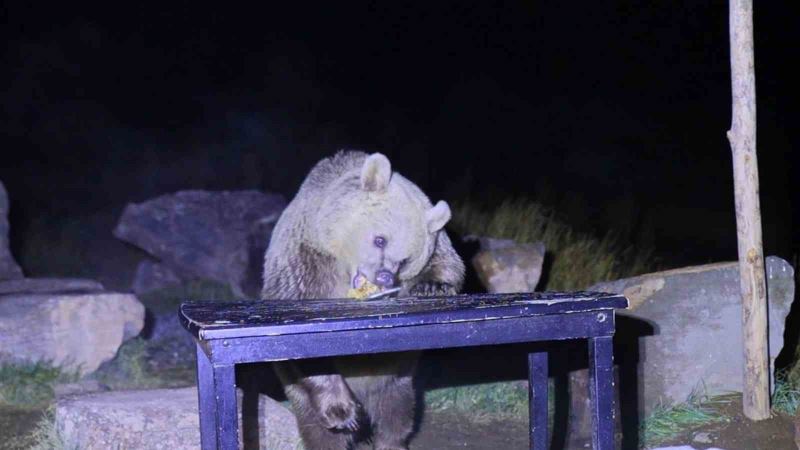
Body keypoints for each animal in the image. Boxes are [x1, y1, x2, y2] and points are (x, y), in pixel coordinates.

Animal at [260, 151, 466, 450]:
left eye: (405, 260)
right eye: (380, 240)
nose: (384, 277)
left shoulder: (438, 244)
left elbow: (449, 264)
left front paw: (433, 286)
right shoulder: (305, 262)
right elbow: (305, 348)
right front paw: (341, 411)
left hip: (396, 378)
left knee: (396, 413)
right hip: (298, 392)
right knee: (317, 429)